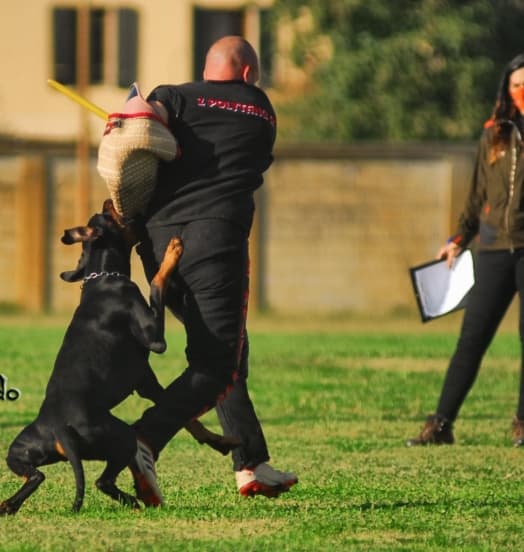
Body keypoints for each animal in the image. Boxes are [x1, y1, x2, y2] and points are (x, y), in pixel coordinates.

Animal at [0, 201, 237, 516]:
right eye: (109, 215)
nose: (108, 201)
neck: (104, 278)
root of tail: (61, 431)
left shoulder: (146, 382)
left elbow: (188, 419)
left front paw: (220, 441)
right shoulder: (155, 339)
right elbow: (156, 283)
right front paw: (173, 251)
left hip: (19, 450)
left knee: (36, 475)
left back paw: (8, 505)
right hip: (122, 436)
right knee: (102, 480)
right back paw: (135, 501)